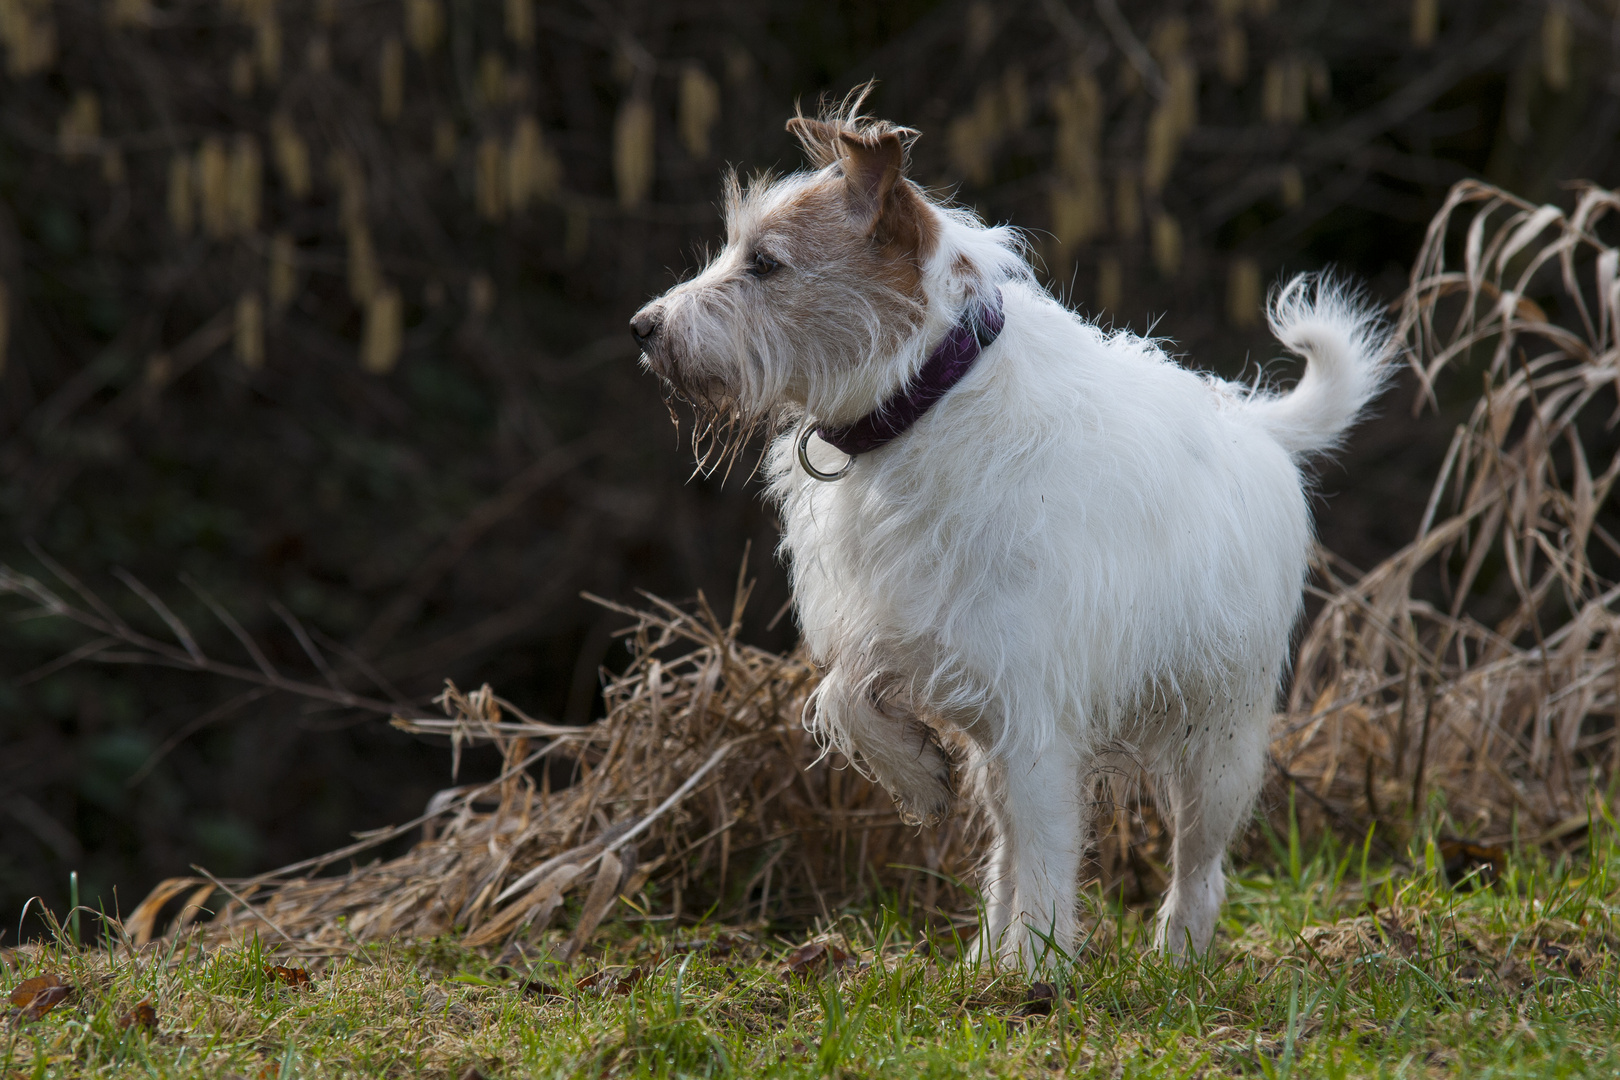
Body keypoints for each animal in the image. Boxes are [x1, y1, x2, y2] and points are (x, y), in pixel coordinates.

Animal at [625, 95, 1386, 971]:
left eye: (765, 264)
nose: (643, 326)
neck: (924, 400)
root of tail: (1256, 423)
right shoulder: (911, 632)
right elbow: (845, 693)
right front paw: (916, 776)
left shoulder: (1037, 716)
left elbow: (1052, 860)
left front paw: (1040, 970)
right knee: (1007, 847)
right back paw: (987, 953)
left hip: (1216, 742)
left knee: (1196, 865)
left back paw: (1173, 956)